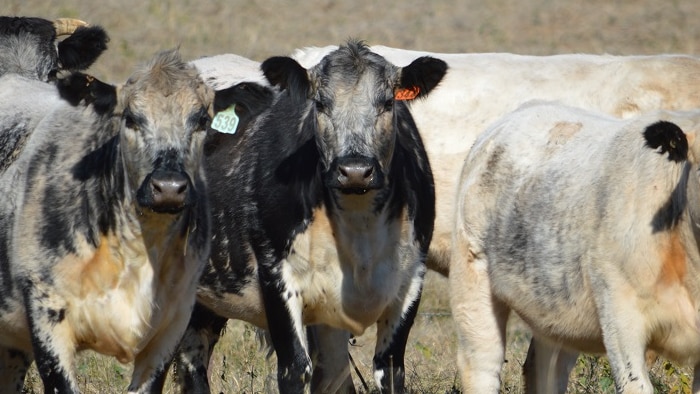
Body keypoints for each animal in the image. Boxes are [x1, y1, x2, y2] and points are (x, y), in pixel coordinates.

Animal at [172, 40, 448, 394]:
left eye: (388, 103)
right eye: (320, 103)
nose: (355, 170)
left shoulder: (409, 281)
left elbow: (386, 371)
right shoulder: (277, 279)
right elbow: (295, 369)